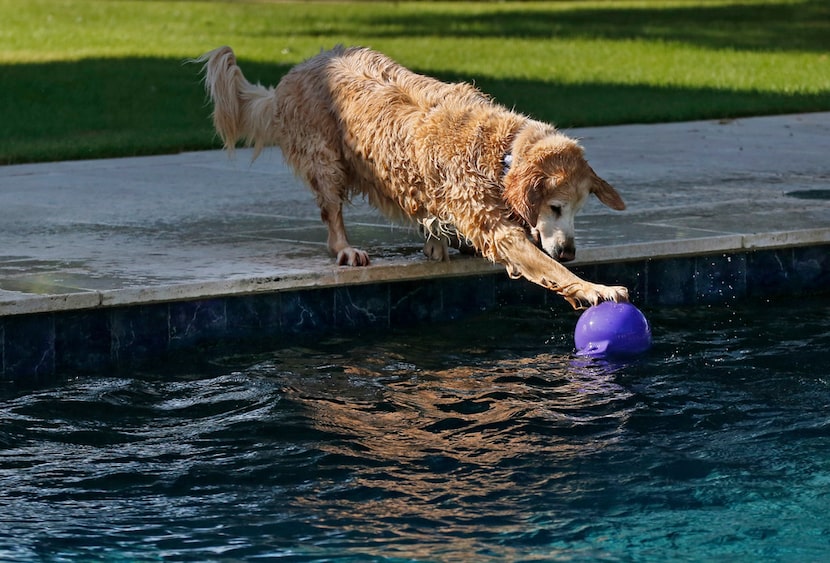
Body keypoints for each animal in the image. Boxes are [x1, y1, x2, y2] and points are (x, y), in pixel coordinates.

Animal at [198, 45, 632, 308]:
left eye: (578, 209)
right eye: (556, 207)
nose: (570, 251)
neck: (504, 152)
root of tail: (296, 71)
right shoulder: (498, 229)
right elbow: (551, 269)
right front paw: (597, 288)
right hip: (326, 159)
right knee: (331, 213)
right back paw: (346, 248)